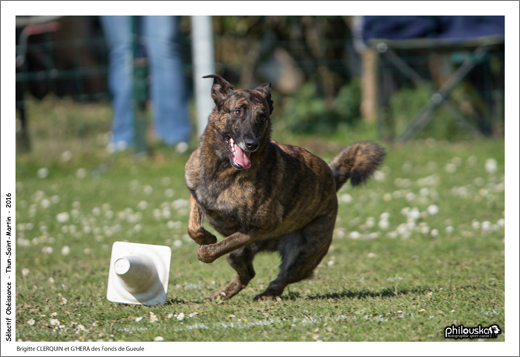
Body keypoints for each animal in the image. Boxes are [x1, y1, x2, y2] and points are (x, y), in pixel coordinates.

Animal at [185, 75, 384, 300]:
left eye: (262, 117)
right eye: (237, 112)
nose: (251, 144)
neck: (222, 169)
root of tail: (332, 179)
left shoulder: (261, 226)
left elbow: (215, 247)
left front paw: (205, 250)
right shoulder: (195, 193)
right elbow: (193, 227)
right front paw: (206, 237)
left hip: (304, 253)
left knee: (282, 277)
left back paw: (267, 294)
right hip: (238, 255)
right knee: (247, 274)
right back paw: (221, 295)